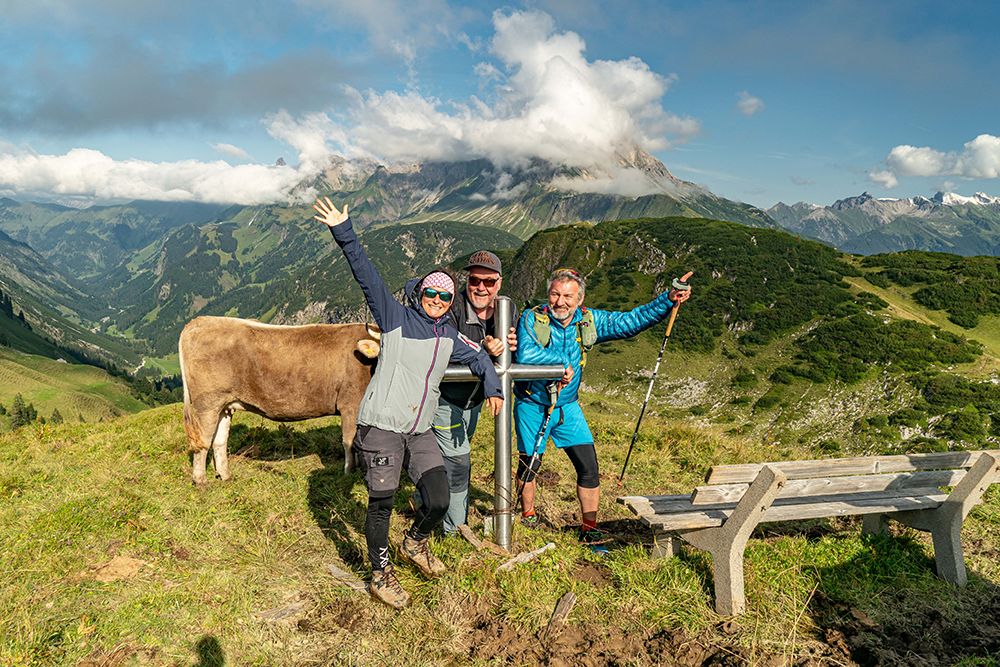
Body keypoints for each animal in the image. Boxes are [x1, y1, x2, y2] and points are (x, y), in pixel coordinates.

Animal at [178, 318, 380, 486]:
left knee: (219, 441)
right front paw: (350, 473)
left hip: (224, 406)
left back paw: (226, 476)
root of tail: (199, 321)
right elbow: (349, 441)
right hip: (207, 403)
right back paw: (200, 481)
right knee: (203, 440)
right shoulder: (350, 405)